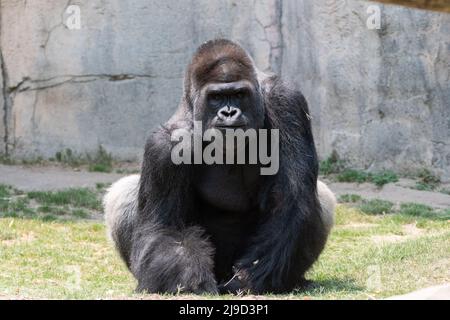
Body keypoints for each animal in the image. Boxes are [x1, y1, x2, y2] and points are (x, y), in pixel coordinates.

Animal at [103, 38, 336, 294]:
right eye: (215, 97)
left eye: (239, 94)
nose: (229, 112)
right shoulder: (164, 146)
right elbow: (167, 228)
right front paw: (194, 281)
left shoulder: (286, 101)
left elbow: (290, 200)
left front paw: (248, 278)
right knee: (123, 191)